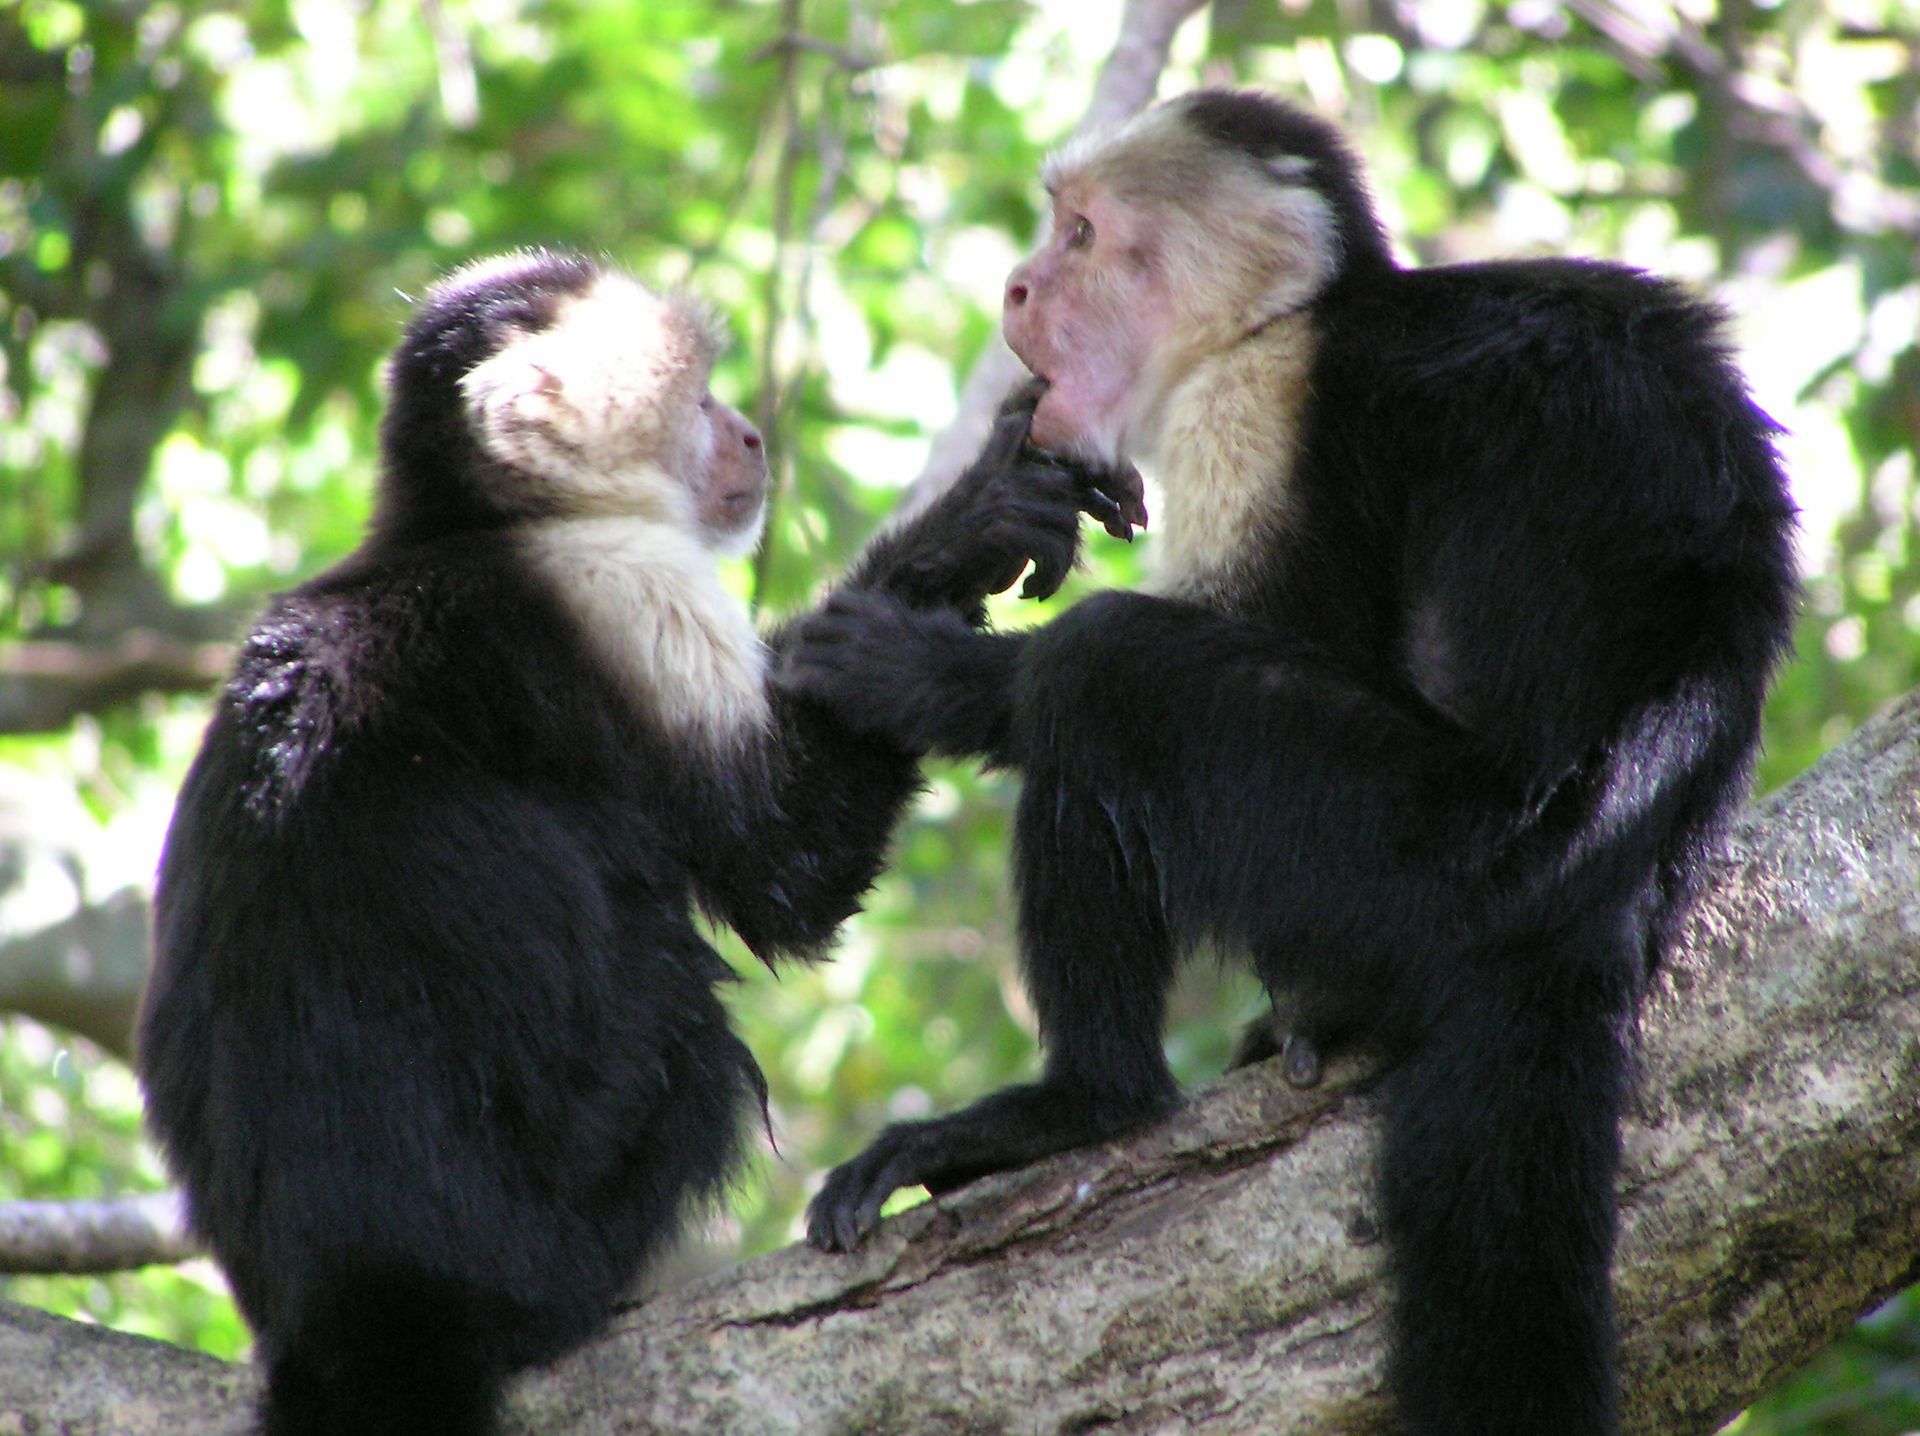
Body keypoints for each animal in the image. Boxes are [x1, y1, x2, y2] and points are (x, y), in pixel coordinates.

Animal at [136, 249, 1130, 1436]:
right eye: (697, 399)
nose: (748, 434)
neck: (488, 523)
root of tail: (366, 1308)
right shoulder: (628, 593)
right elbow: (789, 871)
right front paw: (973, 523)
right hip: (550, 1234)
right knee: (681, 1013)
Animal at [777, 91, 1798, 1436]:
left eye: (1082, 235)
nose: (1015, 286)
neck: (1288, 314)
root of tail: (1603, 873)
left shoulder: (1260, 405)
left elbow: (1279, 632)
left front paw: (928, 672)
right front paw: (991, 504)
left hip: (1430, 856)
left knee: (1104, 677)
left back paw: (1082, 1107)